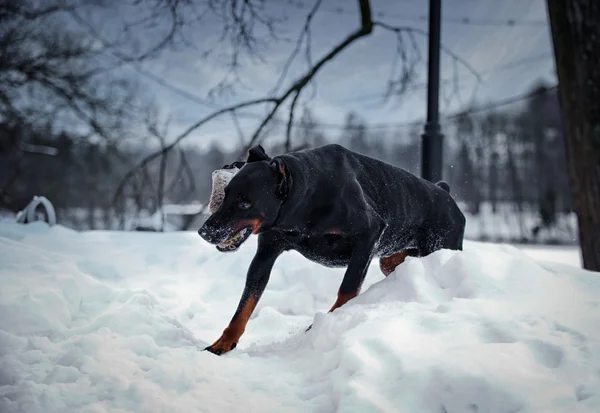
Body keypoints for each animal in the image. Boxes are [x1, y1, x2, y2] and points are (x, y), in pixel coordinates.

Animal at [199, 143, 466, 352]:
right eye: (226, 193)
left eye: (245, 202)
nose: (204, 231)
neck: (306, 197)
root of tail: (447, 195)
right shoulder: (266, 253)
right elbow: (246, 302)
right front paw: (223, 343)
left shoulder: (368, 235)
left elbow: (347, 289)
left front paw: (326, 322)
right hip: (390, 259)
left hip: (440, 246)